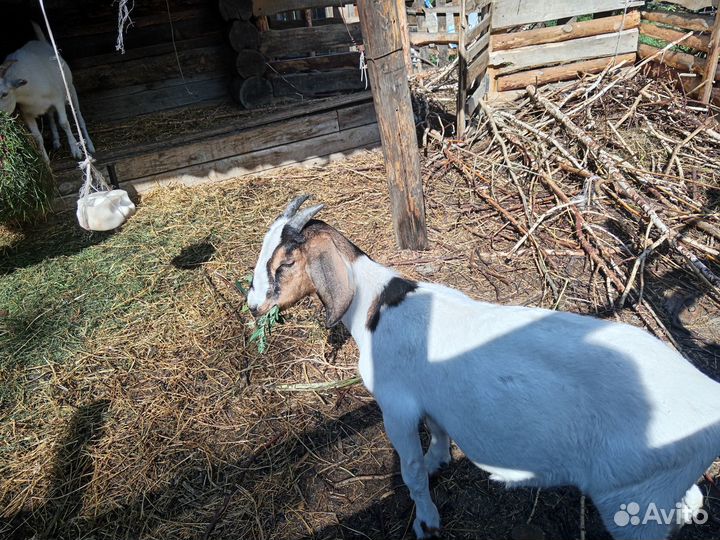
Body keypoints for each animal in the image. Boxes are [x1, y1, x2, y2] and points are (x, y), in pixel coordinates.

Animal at [0, 22, 94, 161]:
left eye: (4, 94)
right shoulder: (26, 112)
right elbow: (37, 136)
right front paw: (46, 161)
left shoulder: (58, 99)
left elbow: (64, 123)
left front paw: (76, 151)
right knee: (50, 116)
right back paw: (56, 141)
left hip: (71, 89)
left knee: (78, 116)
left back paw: (89, 145)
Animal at [247, 196, 720, 540]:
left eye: (283, 263)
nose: (253, 306)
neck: (375, 304)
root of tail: (708, 402)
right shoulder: (431, 400)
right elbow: (438, 432)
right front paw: (439, 461)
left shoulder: (396, 406)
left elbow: (411, 471)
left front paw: (427, 521)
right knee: (693, 498)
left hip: (631, 499)